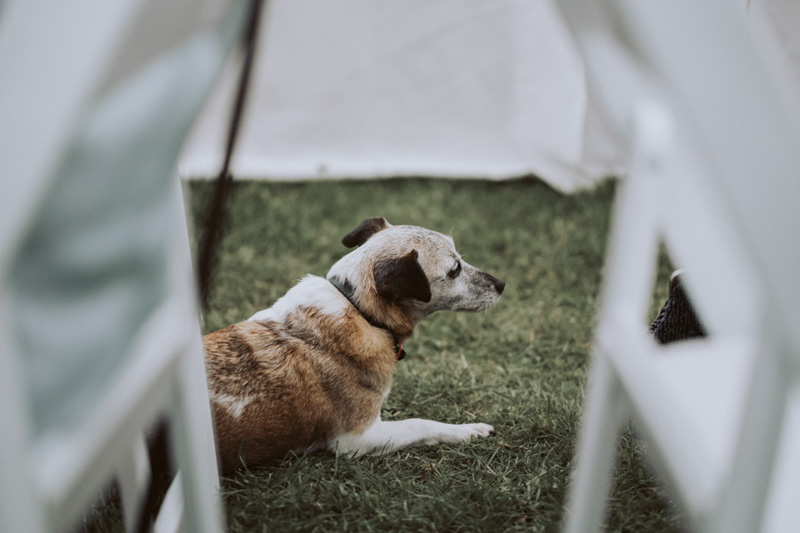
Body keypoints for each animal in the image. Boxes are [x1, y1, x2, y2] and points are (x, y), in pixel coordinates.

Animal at [203, 216, 504, 470]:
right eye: (454, 270)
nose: (501, 284)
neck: (359, 308)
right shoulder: (358, 437)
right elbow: (420, 424)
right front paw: (467, 430)